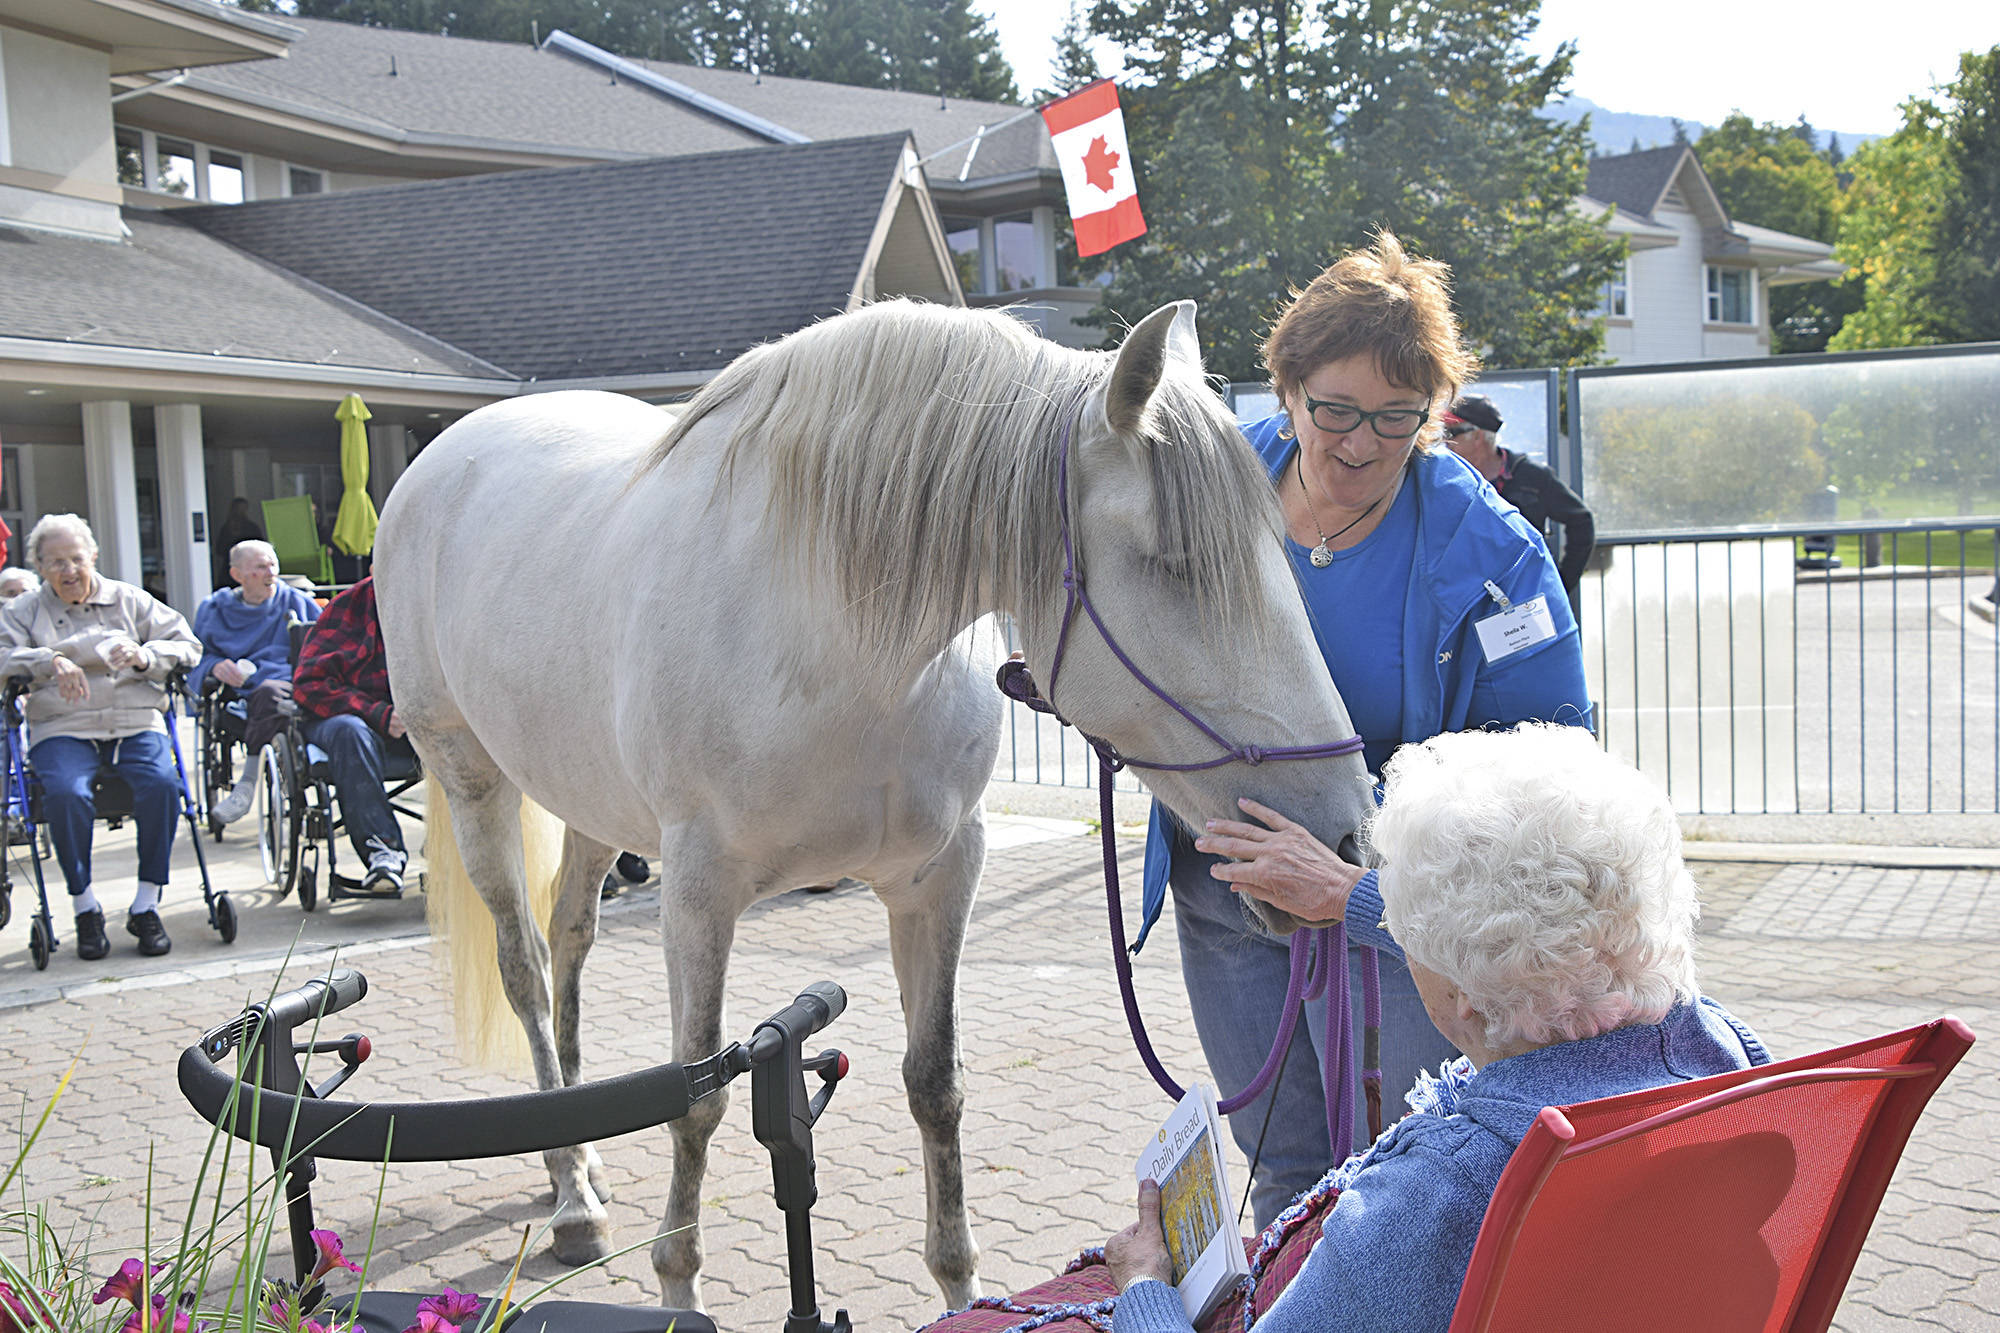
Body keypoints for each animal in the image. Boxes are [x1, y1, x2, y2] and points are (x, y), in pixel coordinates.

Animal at [368, 296, 1376, 1304]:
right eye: (1172, 563)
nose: (1344, 846)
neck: (831, 642)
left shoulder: (936, 879)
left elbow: (935, 1084)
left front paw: (963, 1289)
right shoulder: (696, 898)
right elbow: (697, 1097)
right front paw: (678, 1287)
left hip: (588, 806)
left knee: (571, 939)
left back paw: (579, 1163)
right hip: (469, 777)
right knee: (527, 966)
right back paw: (573, 1192)